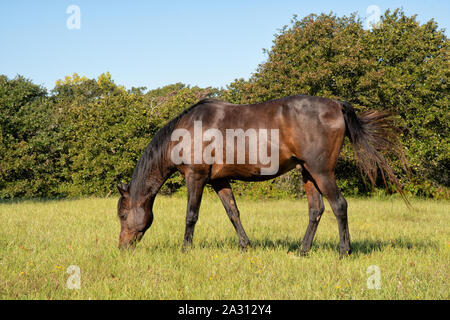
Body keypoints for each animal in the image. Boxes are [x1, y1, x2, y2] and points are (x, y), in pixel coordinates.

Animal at [115, 95, 404, 258]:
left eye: (122, 215)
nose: (121, 248)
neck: (186, 131)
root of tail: (336, 105)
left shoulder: (195, 177)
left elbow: (191, 215)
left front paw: (186, 250)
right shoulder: (219, 181)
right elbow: (233, 213)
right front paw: (245, 246)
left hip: (321, 171)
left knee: (339, 206)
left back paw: (344, 251)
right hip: (308, 173)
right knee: (316, 210)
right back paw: (302, 251)